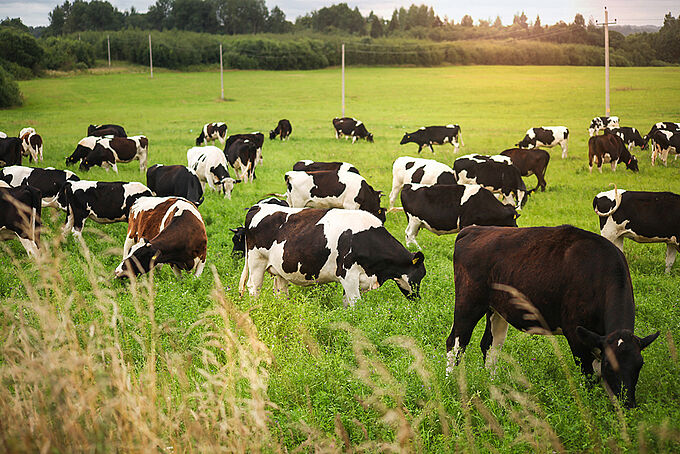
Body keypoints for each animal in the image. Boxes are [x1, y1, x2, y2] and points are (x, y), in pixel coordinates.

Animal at [238, 203, 425, 307]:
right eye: (420, 275)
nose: (417, 300)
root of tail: (258, 207)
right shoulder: (348, 274)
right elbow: (355, 304)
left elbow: (347, 304)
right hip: (256, 262)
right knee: (254, 288)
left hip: (280, 269)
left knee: (281, 292)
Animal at [446, 224, 660, 408]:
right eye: (610, 365)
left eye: (639, 364)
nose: (628, 404)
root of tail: (474, 229)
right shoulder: (576, 335)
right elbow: (588, 375)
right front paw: (590, 406)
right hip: (469, 302)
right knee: (456, 342)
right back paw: (451, 383)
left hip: (497, 308)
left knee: (490, 346)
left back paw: (493, 384)